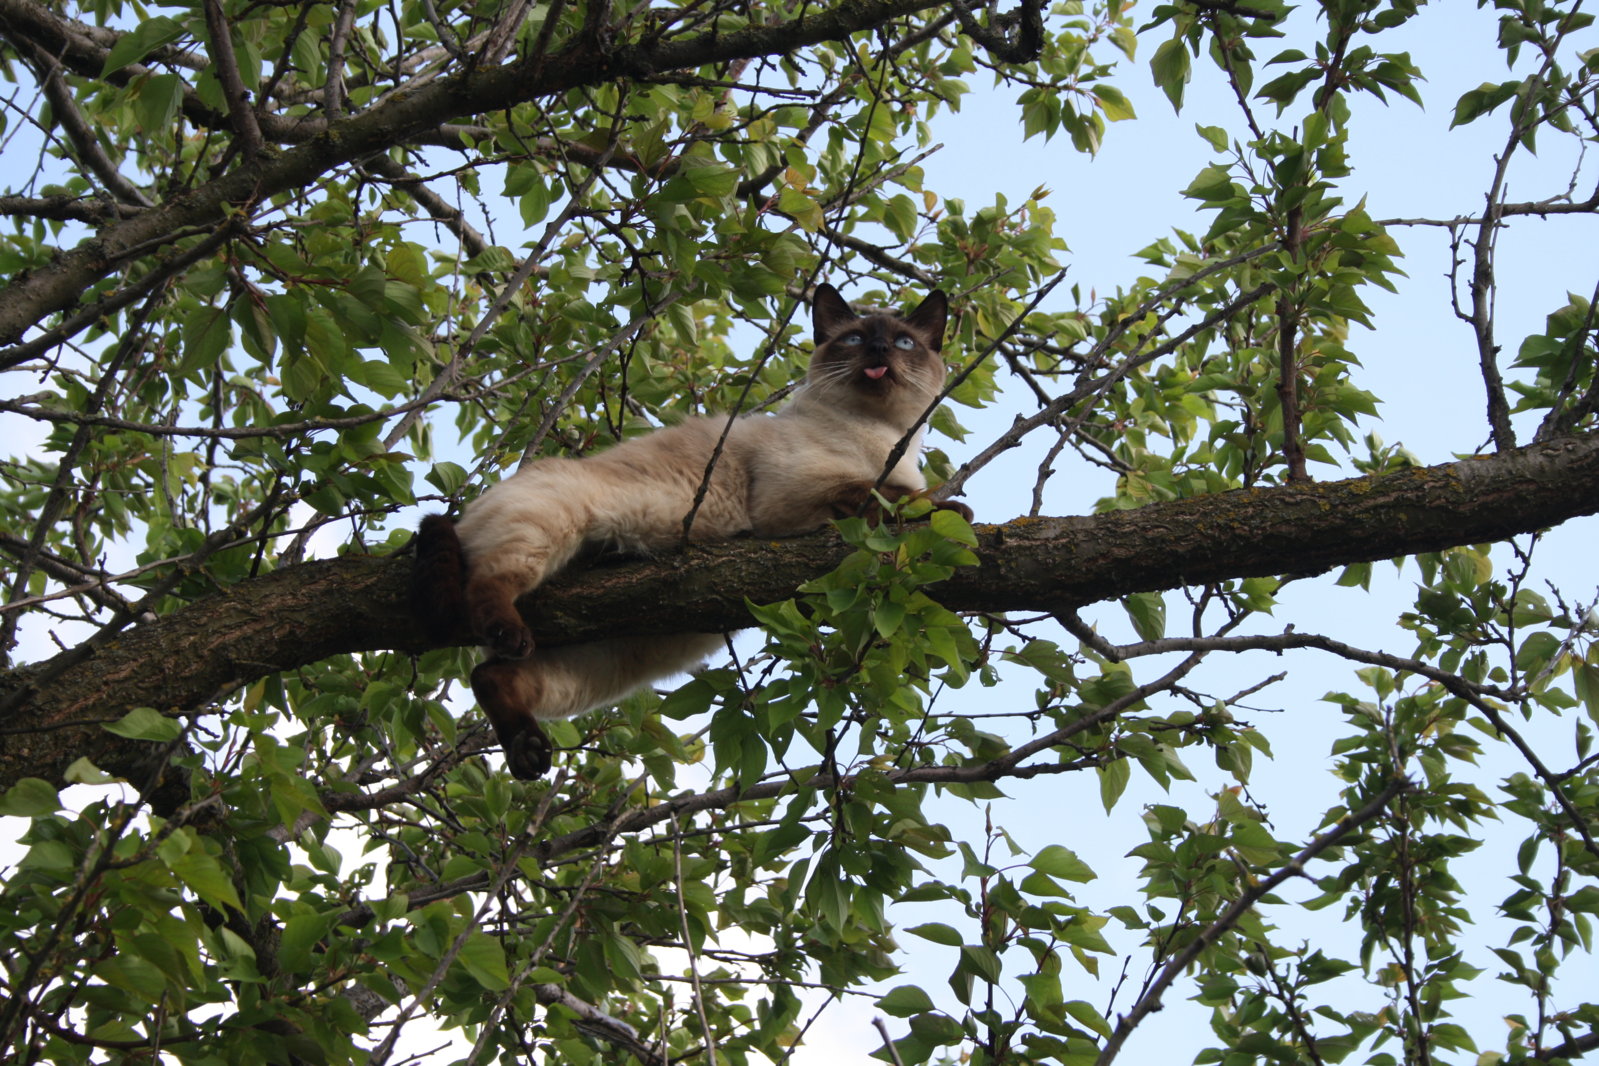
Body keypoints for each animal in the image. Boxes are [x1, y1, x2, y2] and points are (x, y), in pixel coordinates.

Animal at [412, 283, 971, 779]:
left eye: (903, 343)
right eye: (855, 339)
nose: (878, 350)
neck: (885, 439)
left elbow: (905, 495)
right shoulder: (798, 495)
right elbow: (890, 497)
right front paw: (950, 510)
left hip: (615, 656)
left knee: (489, 675)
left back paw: (528, 751)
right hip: (544, 532)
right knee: (486, 589)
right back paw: (509, 634)